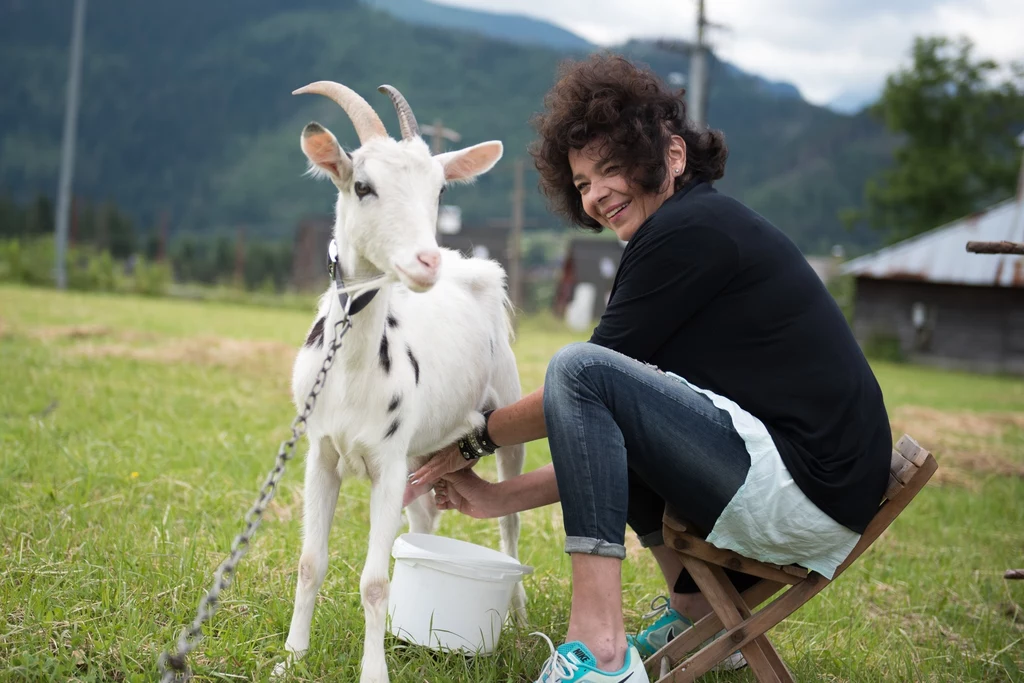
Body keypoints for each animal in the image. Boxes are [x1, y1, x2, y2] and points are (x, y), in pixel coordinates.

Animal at [276, 81, 524, 683]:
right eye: (362, 186)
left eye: (440, 189)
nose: (426, 261)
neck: (350, 374)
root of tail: (471, 270)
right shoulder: (322, 452)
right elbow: (310, 561)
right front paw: (292, 655)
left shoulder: (387, 465)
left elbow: (374, 581)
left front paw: (373, 673)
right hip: (421, 451)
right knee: (425, 519)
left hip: (506, 409)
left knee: (509, 522)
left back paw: (519, 620)